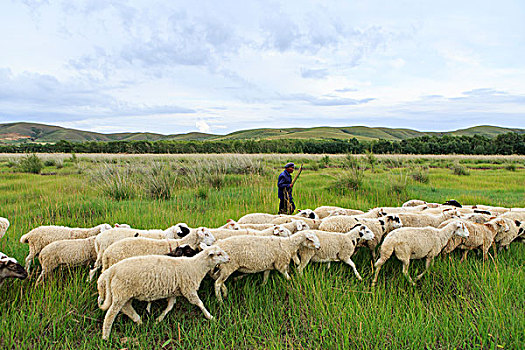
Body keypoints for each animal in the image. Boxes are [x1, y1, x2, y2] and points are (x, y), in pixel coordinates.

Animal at [97, 245, 228, 340]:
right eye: (219, 254)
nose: (229, 259)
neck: (195, 266)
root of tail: (112, 271)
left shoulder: (174, 291)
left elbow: (170, 306)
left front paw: (158, 319)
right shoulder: (188, 289)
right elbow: (200, 303)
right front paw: (210, 317)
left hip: (124, 293)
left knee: (126, 307)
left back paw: (139, 321)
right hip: (121, 293)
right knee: (110, 315)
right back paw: (105, 337)